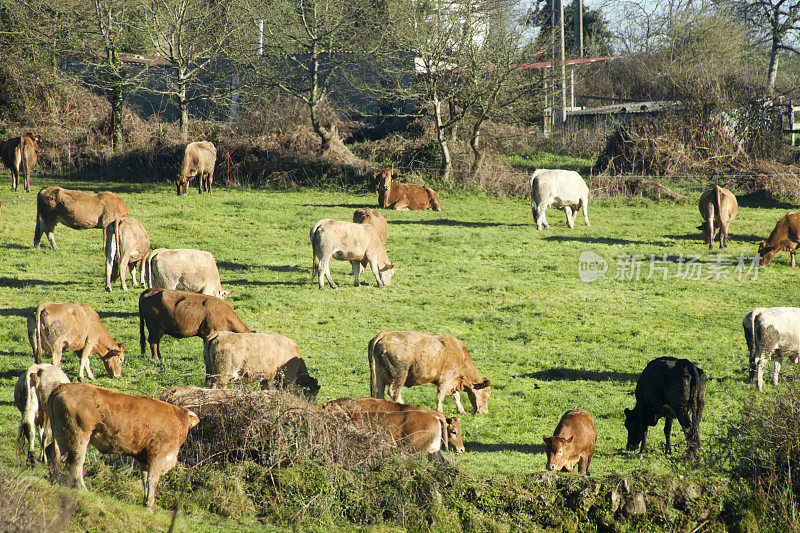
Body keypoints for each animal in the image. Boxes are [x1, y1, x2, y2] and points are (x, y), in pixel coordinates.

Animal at [47, 382, 200, 508]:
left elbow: (145, 480)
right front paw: (150, 505)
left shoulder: (144, 458)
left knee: (52, 452)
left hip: (61, 432)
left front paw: (145, 502)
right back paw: (82, 489)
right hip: (79, 434)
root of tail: (65, 386)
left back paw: (55, 481)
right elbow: (152, 480)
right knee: (75, 462)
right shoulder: (158, 455)